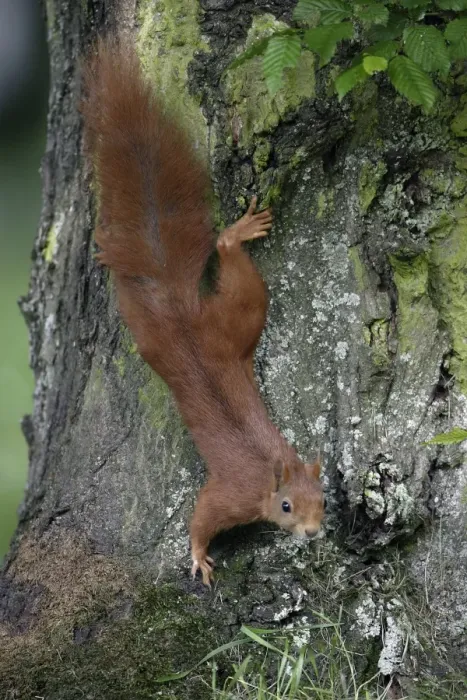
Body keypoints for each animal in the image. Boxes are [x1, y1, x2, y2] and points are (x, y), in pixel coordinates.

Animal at [81, 39, 324, 586]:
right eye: (285, 507)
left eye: (324, 500)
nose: (313, 532)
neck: (268, 473)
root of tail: (179, 312)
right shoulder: (232, 494)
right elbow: (202, 516)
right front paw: (197, 556)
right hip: (221, 320)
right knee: (221, 257)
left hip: (233, 324)